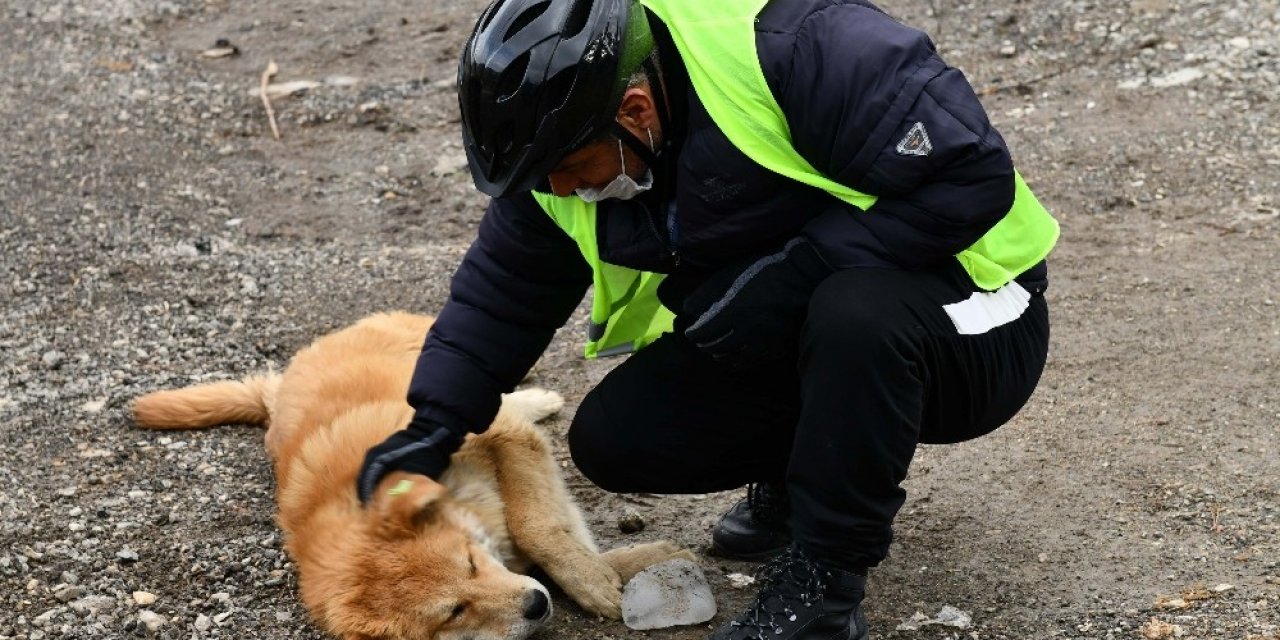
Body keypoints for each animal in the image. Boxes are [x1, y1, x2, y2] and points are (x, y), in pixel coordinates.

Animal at [132, 313, 691, 640]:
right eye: (455, 611)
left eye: (469, 562)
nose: (536, 606)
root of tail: (281, 384)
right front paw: (632, 567)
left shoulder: (505, 440)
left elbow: (539, 524)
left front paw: (599, 578)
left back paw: (536, 395)